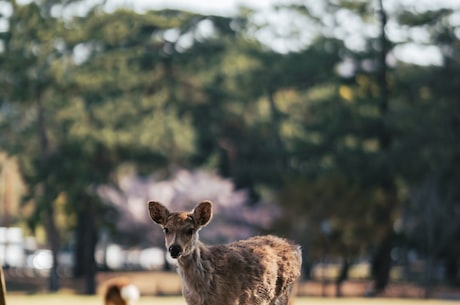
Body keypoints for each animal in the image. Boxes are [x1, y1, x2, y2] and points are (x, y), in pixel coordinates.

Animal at [147, 200, 304, 304]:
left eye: (190, 230)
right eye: (166, 229)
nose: (174, 249)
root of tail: (296, 247)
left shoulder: (232, 299)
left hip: (284, 292)